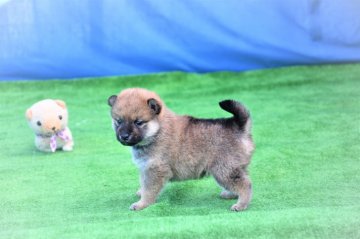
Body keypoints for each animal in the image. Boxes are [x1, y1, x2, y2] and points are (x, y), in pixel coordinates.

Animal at [108, 88, 255, 212]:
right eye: (118, 121)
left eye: (138, 122)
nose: (124, 136)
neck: (157, 131)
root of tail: (238, 126)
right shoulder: (145, 168)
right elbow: (144, 184)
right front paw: (141, 193)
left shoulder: (155, 169)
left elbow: (149, 190)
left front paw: (142, 204)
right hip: (233, 168)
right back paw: (230, 194)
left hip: (224, 169)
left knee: (245, 184)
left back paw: (241, 204)